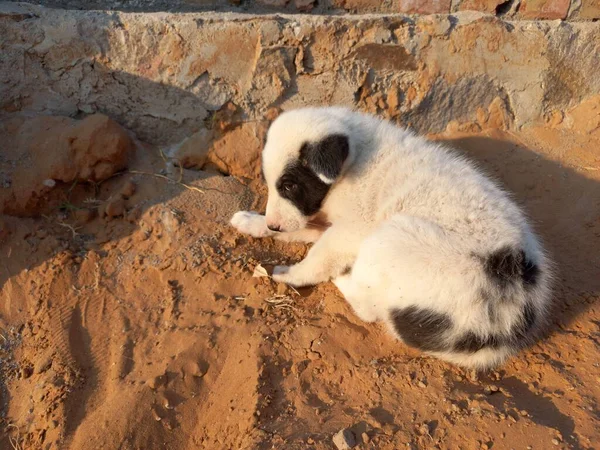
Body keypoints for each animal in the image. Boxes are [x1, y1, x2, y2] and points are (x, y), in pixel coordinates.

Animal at [231, 106, 552, 370]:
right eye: (272, 184)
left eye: (290, 185)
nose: (273, 226)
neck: (355, 157)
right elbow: (305, 230)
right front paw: (252, 222)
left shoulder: (353, 229)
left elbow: (320, 254)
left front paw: (291, 274)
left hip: (388, 239)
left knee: (369, 307)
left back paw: (339, 278)